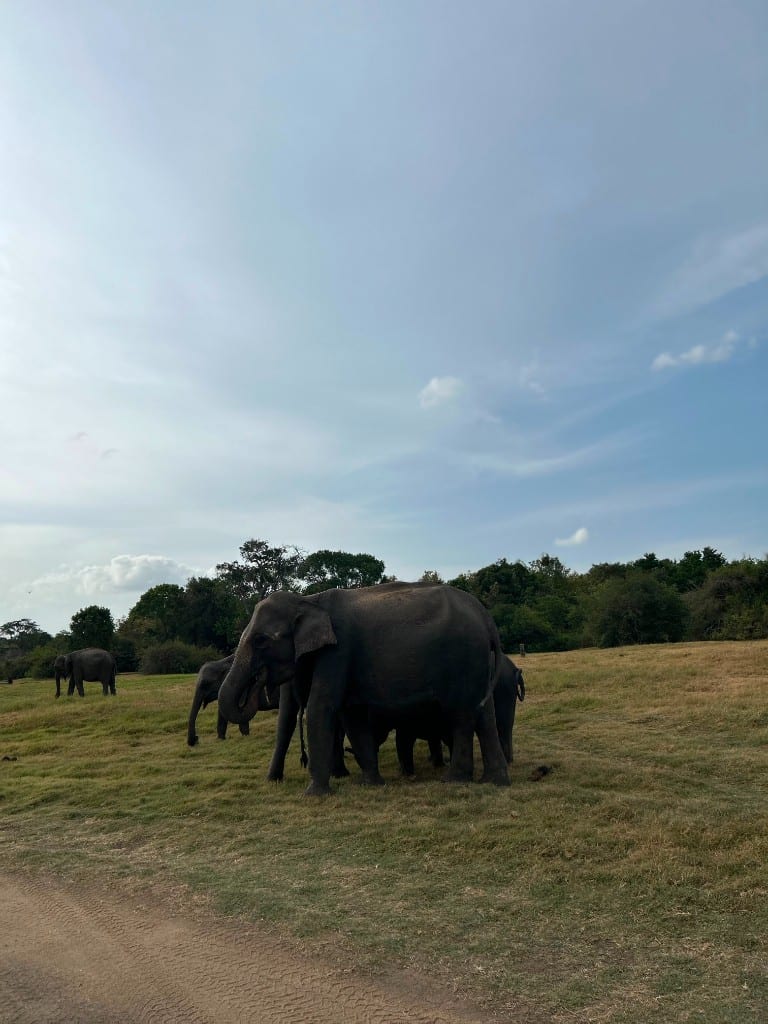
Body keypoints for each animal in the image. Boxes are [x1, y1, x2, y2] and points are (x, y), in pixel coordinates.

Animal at [217, 582, 510, 796]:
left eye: (261, 640)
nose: (259, 679)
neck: (310, 599)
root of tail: (486, 617)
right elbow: (351, 714)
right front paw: (371, 784)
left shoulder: (338, 651)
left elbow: (322, 706)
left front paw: (314, 794)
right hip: (478, 664)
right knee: (484, 715)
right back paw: (495, 781)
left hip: (463, 659)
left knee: (461, 715)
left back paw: (454, 780)